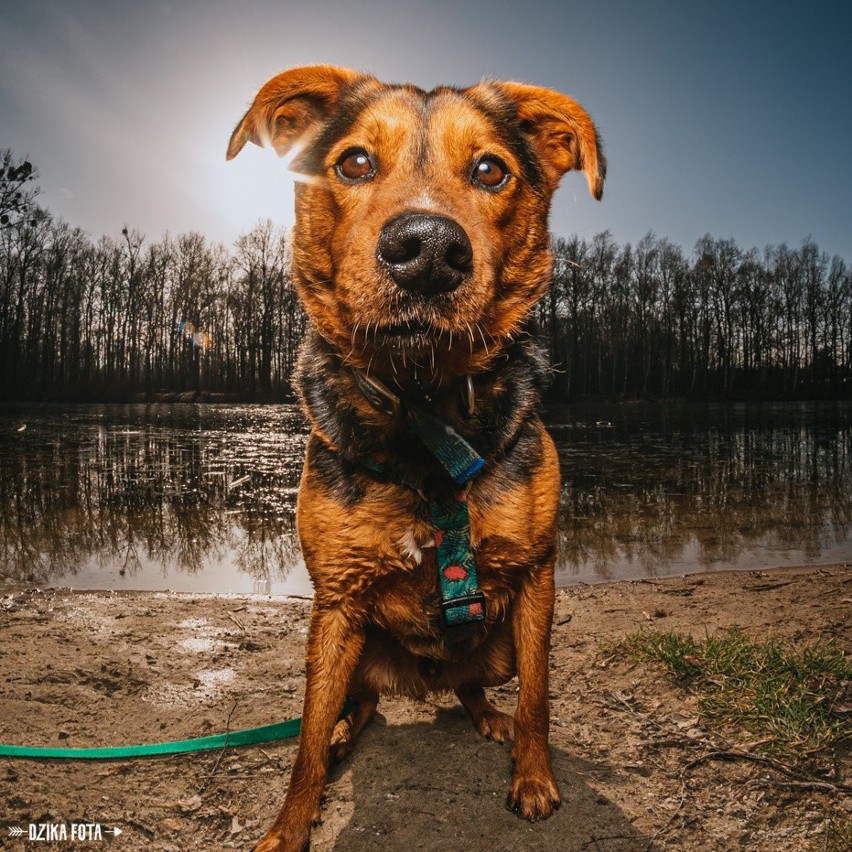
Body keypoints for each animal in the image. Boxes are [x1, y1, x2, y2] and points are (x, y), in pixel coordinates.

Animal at [226, 63, 604, 848]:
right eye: (353, 163)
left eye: (491, 170)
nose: (428, 250)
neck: (423, 404)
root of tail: (421, 680)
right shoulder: (336, 601)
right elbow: (304, 737)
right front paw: (289, 825)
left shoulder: (538, 574)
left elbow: (539, 698)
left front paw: (533, 778)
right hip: (358, 646)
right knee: (355, 707)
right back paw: (349, 736)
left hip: (494, 642)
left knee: (475, 685)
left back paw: (487, 716)